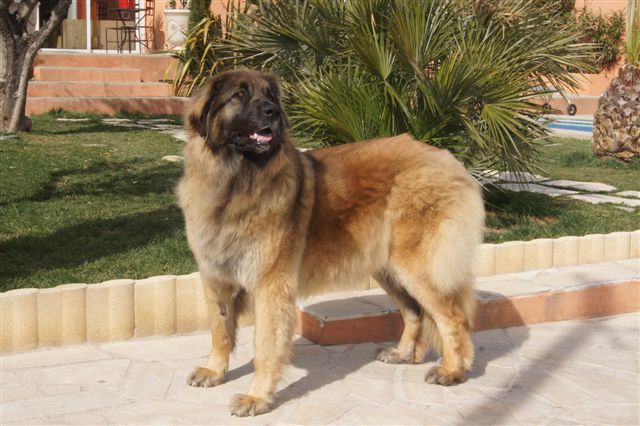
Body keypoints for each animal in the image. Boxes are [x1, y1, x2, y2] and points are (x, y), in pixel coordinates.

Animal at [177, 69, 485, 417]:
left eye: (269, 95)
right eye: (239, 94)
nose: (273, 112)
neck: (236, 180)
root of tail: (449, 161)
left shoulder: (270, 284)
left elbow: (265, 345)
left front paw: (256, 397)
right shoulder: (215, 278)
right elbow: (220, 332)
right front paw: (215, 371)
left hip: (417, 267)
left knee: (453, 318)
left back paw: (452, 371)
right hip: (389, 268)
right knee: (414, 312)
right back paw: (405, 354)